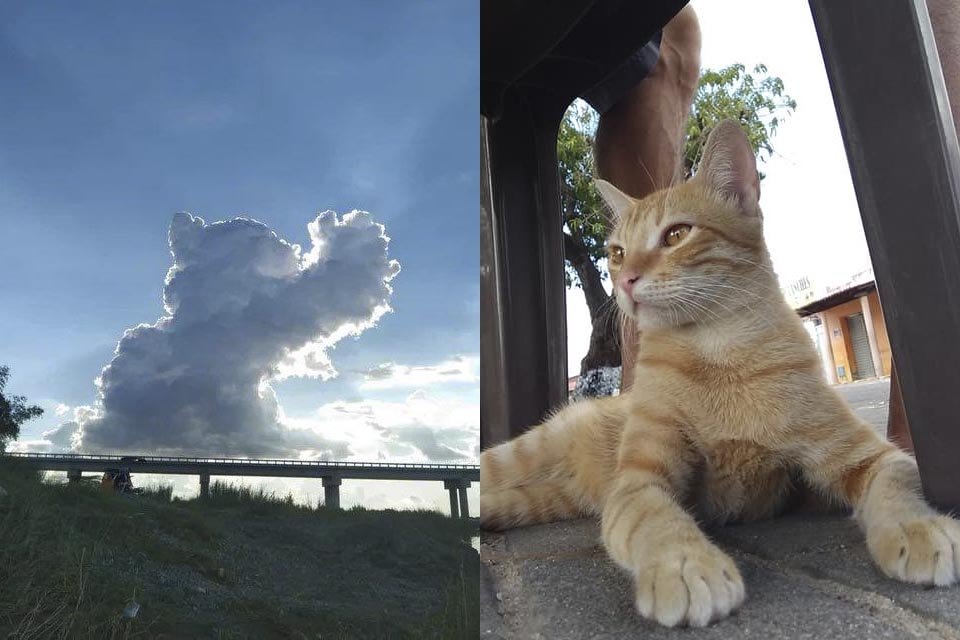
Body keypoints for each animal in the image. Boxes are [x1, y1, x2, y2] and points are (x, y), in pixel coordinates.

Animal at [480, 119, 960, 624]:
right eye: (617, 252)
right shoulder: (638, 483)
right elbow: (659, 519)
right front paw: (685, 564)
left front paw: (919, 528)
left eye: (676, 235)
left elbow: (895, 487)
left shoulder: (869, 456)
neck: (718, 353)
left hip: (543, 502)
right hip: (522, 455)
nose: (625, 280)